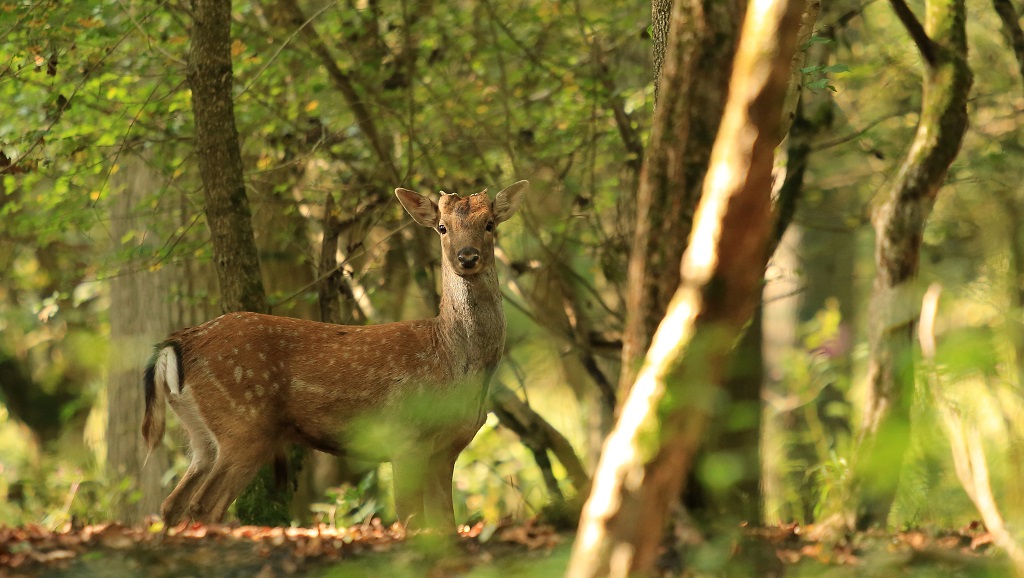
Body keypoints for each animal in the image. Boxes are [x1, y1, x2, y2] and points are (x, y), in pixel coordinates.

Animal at [142, 179, 528, 528]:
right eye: (442, 227)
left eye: (489, 224)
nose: (467, 257)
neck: (451, 359)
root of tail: (179, 344)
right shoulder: (404, 436)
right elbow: (412, 519)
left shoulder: (447, 449)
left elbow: (446, 523)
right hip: (244, 424)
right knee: (204, 505)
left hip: (202, 434)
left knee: (172, 503)